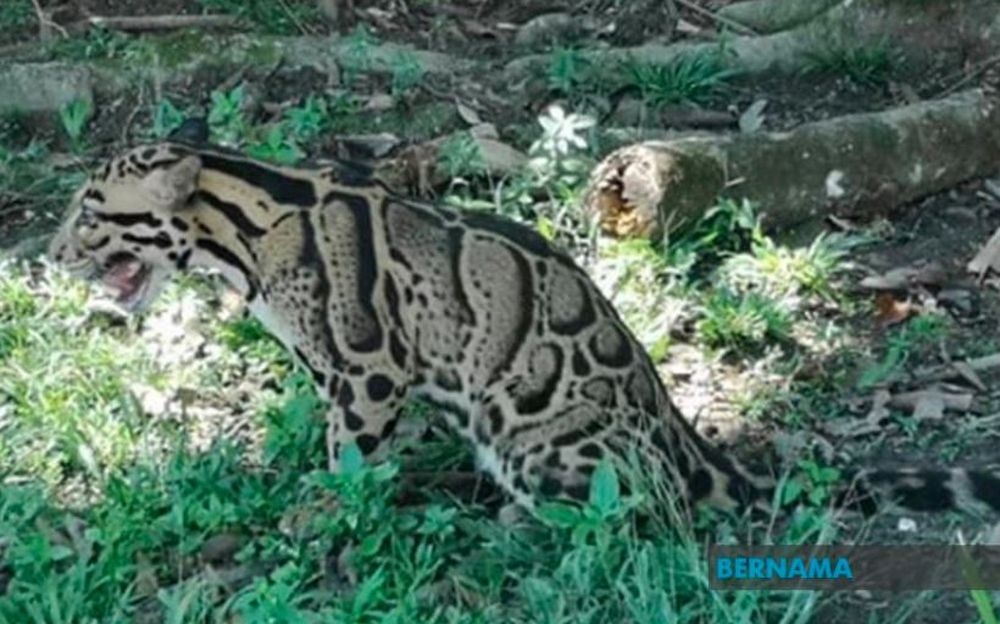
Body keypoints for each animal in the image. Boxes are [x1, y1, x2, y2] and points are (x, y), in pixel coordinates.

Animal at [48, 119, 1000, 519]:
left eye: (91, 213)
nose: (51, 255)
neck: (249, 219)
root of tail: (689, 444)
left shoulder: (367, 368)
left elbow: (349, 460)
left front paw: (322, 513)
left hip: (531, 434)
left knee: (648, 513)